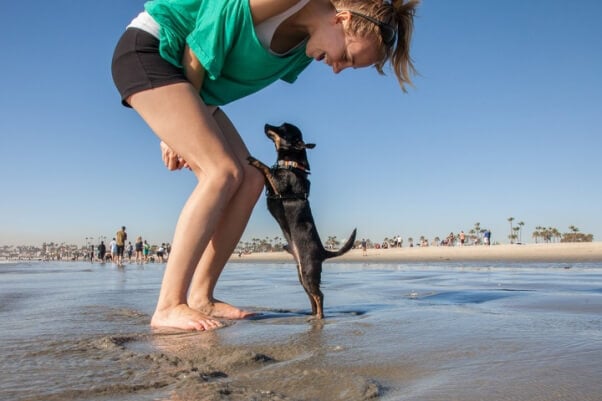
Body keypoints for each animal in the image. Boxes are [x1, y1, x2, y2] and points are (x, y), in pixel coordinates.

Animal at [246, 122, 354, 318]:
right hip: (301, 275)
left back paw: (319, 317)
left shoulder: (279, 186)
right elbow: (268, 171)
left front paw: (255, 160)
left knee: (319, 295)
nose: (266, 124)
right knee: (312, 296)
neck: (291, 165)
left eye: (282, 129)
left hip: (308, 272)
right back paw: (311, 315)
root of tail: (324, 252)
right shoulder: (272, 187)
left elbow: (266, 168)